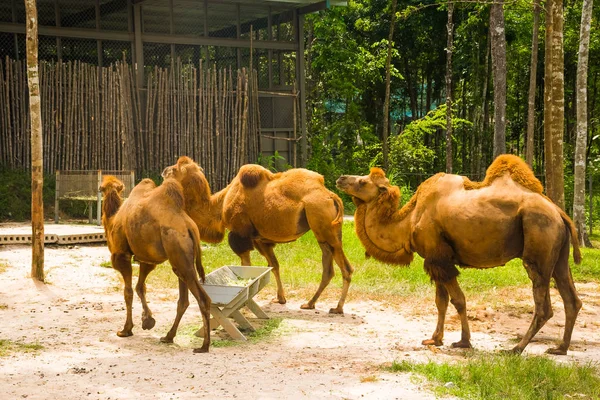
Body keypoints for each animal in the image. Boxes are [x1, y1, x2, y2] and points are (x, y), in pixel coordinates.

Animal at [102, 175, 214, 354]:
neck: (113, 220)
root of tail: (190, 227)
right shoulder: (146, 259)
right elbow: (140, 287)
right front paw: (147, 320)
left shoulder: (121, 255)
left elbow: (128, 292)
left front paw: (126, 329)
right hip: (180, 259)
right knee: (183, 300)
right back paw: (168, 337)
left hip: (178, 252)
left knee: (203, 298)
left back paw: (204, 346)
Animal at [162, 157, 354, 316]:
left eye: (174, 169)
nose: (163, 170)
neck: (220, 205)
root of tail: (331, 195)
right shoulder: (260, 240)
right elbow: (274, 266)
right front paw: (280, 298)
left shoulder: (239, 235)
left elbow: (246, 266)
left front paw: (244, 300)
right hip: (326, 231)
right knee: (329, 267)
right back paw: (310, 303)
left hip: (323, 223)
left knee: (346, 268)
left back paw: (337, 308)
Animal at [338, 155, 580, 354]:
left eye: (362, 182)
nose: (341, 178)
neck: (410, 220)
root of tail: (559, 212)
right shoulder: (435, 259)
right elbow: (441, 301)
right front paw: (434, 339)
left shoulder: (439, 257)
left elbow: (458, 300)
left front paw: (463, 341)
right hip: (559, 254)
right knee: (572, 299)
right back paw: (560, 348)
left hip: (539, 240)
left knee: (544, 305)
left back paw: (516, 349)